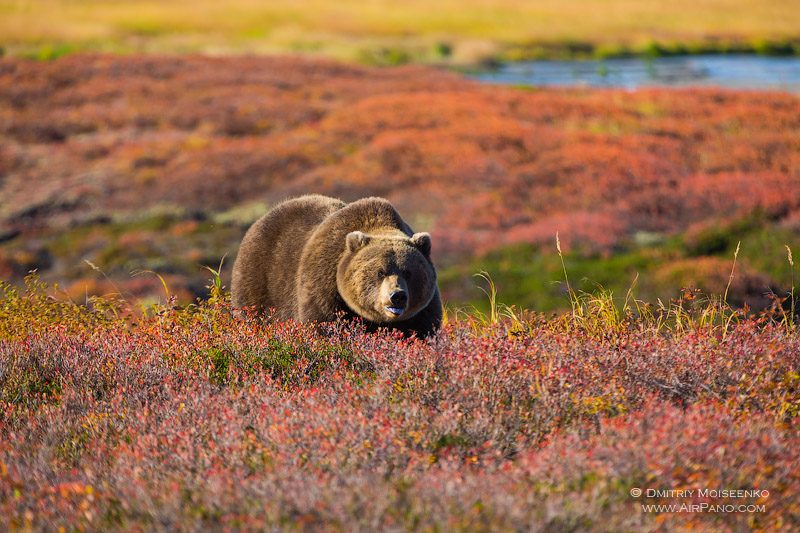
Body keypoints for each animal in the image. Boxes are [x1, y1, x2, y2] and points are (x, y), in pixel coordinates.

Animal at [231, 194, 444, 336]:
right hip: (260, 281)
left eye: (408, 272)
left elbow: (422, 331)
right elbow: (323, 325)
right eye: (380, 272)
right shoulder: (325, 288)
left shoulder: (421, 311)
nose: (397, 296)